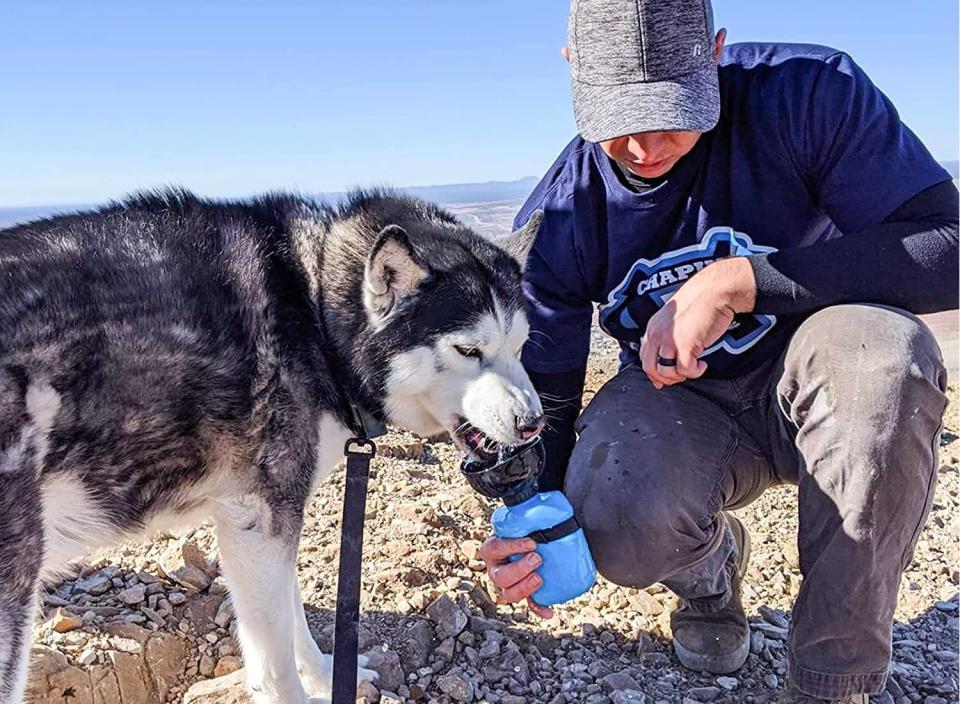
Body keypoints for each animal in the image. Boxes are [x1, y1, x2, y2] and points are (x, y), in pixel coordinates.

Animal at [0, 188, 544, 704]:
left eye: (520, 346)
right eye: (468, 350)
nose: (534, 424)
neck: (314, 314)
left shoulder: (259, 520)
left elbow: (292, 612)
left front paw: (328, 675)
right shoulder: (260, 517)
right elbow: (274, 655)